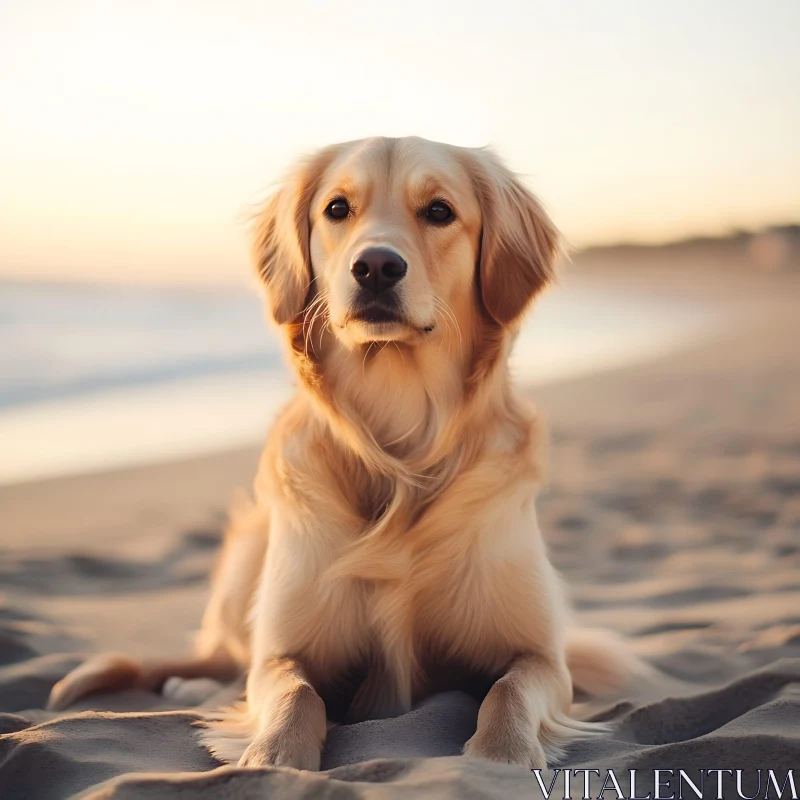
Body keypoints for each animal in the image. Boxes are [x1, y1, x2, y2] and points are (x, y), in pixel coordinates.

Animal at [48, 136, 636, 768]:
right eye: (337, 209)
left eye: (439, 211)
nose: (375, 266)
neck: (399, 447)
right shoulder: (284, 649)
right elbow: (293, 692)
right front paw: (274, 754)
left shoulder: (541, 655)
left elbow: (509, 691)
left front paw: (500, 757)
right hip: (248, 550)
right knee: (225, 658)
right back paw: (194, 683)